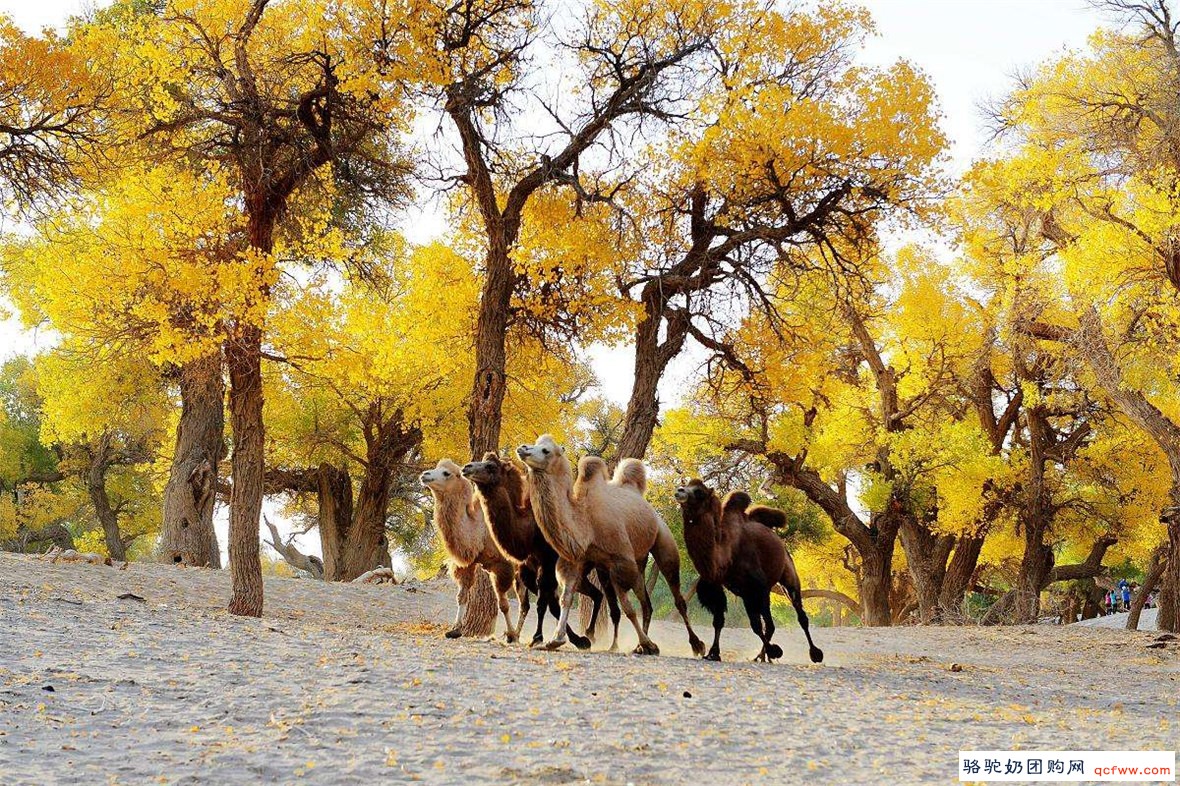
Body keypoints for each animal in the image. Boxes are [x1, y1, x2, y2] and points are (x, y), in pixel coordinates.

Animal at [420, 455, 521, 642]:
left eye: (446, 473)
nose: (425, 475)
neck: (480, 530)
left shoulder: (503, 565)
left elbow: (503, 604)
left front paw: (511, 635)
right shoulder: (468, 562)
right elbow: (461, 596)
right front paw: (455, 629)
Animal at [457, 450, 618, 646]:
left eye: (490, 466)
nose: (466, 467)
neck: (528, 532)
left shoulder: (547, 562)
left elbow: (543, 603)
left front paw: (538, 638)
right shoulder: (525, 569)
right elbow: (546, 604)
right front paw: (576, 640)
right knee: (596, 594)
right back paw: (590, 634)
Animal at [514, 434, 698, 656]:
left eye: (546, 450)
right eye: (536, 443)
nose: (522, 448)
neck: (586, 520)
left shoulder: (621, 561)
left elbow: (628, 608)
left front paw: (650, 644)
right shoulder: (576, 560)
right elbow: (566, 596)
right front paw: (556, 640)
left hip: (662, 542)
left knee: (674, 595)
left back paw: (696, 645)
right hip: (634, 561)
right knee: (646, 603)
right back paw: (639, 646)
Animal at [679, 476, 825, 660]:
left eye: (699, 492)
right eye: (686, 485)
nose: (679, 491)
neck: (726, 552)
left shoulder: (759, 586)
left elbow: (760, 625)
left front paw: (775, 651)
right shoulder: (725, 586)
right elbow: (720, 620)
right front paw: (713, 653)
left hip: (787, 573)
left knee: (799, 615)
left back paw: (814, 653)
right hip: (748, 593)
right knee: (766, 624)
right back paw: (761, 657)